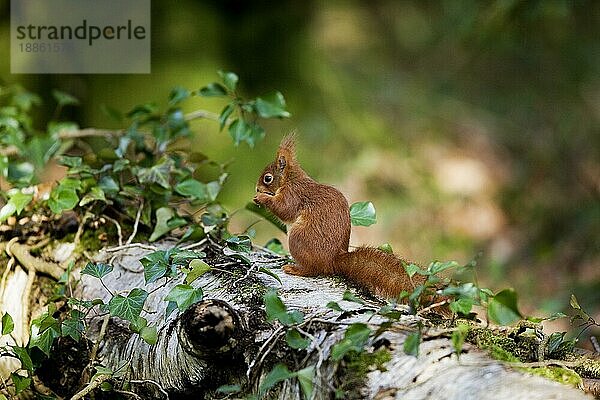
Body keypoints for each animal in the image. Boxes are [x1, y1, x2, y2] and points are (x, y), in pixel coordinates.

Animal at [253, 136, 426, 298]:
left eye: (267, 178)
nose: (256, 189)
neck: (290, 179)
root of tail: (332, 261)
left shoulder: (293, 194)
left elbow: (284, 209)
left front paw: (261, 198)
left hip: (298, 238)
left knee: (313, 270)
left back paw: (294, 269)